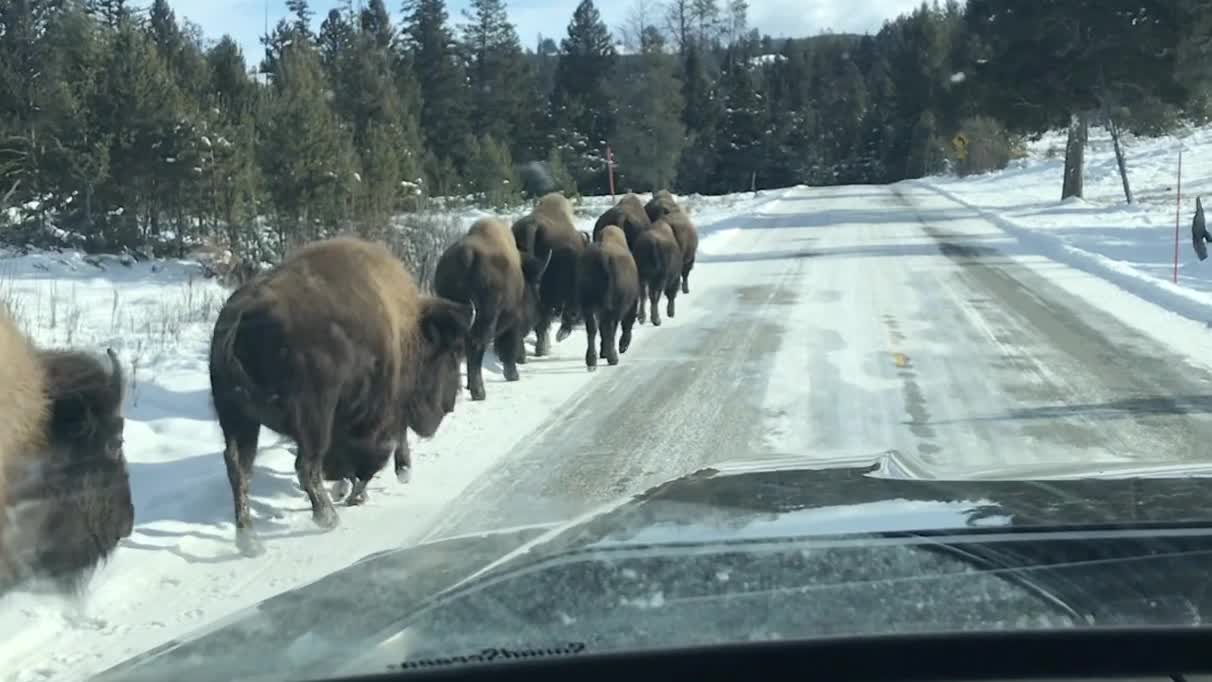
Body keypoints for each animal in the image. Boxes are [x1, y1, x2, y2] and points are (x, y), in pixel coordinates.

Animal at [208, 237, 472, 557]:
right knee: (305, 466)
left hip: (238, 419)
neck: (408, 330)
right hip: (310, 420)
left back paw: (250, 541)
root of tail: (240, 319)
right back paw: (327, 517)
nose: (449, 405)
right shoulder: (376, 419)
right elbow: (372, 456)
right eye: (452, 354)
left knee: (240, 469)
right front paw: (357, 493)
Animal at [436, 218, 550, 399]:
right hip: (485, 319)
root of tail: (466, 256)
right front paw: (513, 375)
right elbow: (509, 347)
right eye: (533, 286)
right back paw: (479, 392)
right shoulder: (513, 324)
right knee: (475, 346)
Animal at [579, 226, 644, 370]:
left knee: (592, 329)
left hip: (588, 306)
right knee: (608, 328)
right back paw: (612, 357)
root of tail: (603, 258)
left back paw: (591, 360)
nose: (623, 348)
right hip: (609, 308)